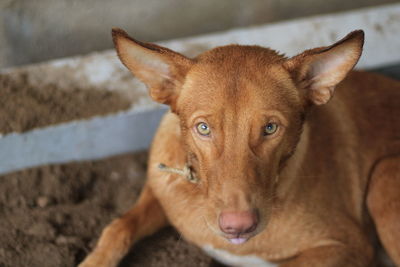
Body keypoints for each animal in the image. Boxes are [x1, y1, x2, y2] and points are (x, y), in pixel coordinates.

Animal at [79, 28, 400, 266]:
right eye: (203, 128)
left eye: (270, 128)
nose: (238, 226)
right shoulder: (160, 190)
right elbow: (118, 226)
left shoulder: (348, 245)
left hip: (384, 174)